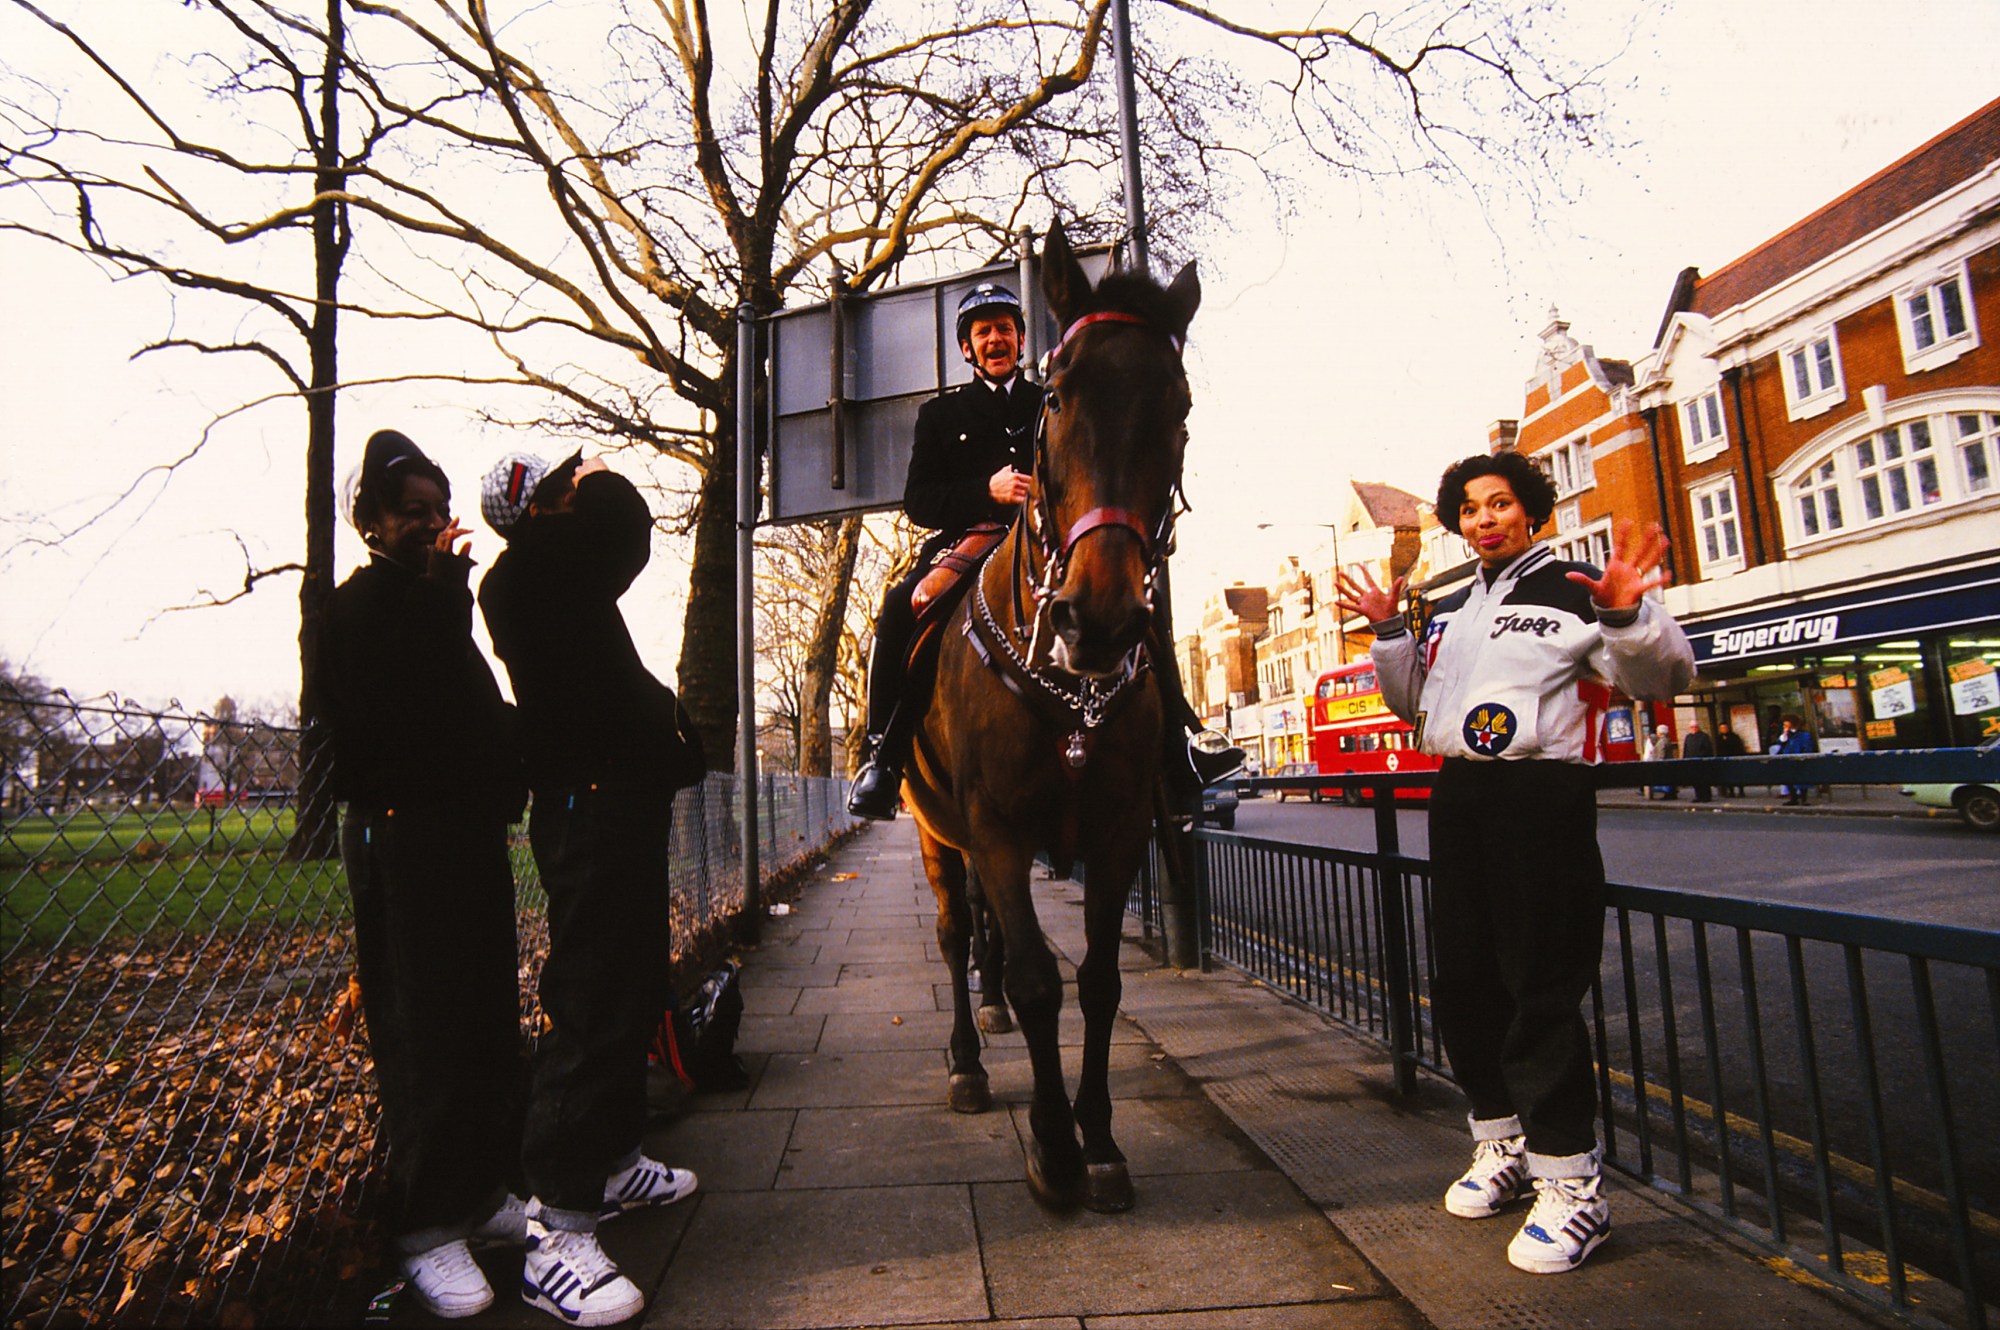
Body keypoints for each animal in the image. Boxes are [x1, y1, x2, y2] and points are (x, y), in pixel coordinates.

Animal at [908, 226, 1200, 1216]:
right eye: (1059, 393)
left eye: (1180, 405)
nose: (1099, 620)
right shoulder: (995, 830)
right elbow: (1037, 983)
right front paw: (1052, 1147)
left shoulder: (1118, 831)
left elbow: (1100, 985)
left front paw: (1100, 1139)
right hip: (934, 830)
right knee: (958, 935)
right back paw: (966, 1060)